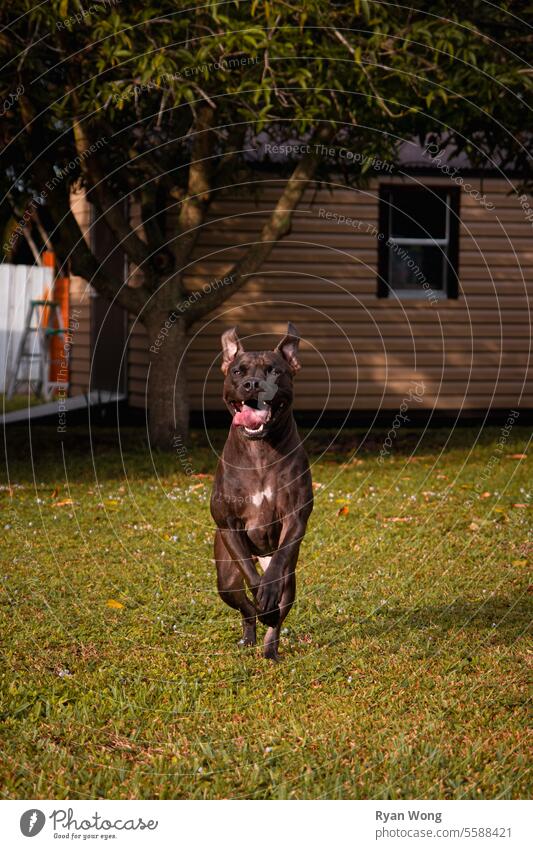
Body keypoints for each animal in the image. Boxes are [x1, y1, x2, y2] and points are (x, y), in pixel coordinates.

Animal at [210, 322, 314, 660]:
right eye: (237, 371)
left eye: (274, 371)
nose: (253, 384)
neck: (260, 452)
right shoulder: (229, 526)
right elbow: (251, 578)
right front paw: (262, 599)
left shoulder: (295, 519)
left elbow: (276, 569)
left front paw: (268, 596)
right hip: (225, 579)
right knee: (244, 606)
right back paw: (250, 634)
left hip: (290, 579)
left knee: (279, 615)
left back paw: (270, 649)